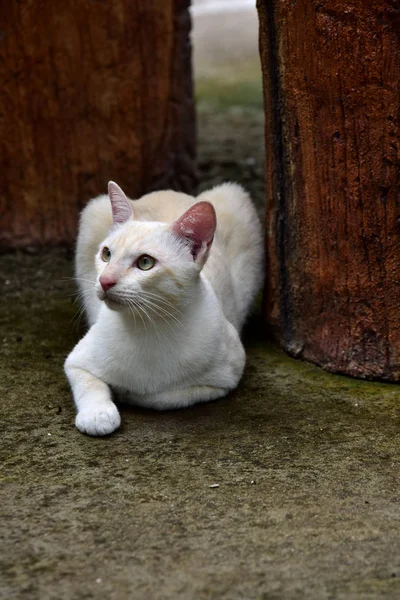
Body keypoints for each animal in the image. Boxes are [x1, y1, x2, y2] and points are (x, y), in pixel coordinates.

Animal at [64, 180, 264, 434]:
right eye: (106, 254)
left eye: (145, 263)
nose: (105, 281)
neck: (148, 327)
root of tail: (167, 191)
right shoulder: (76, 362)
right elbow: (90, 384)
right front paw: (98, 415)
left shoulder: (222, 382)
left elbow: (162, 398)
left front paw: (126, 393)